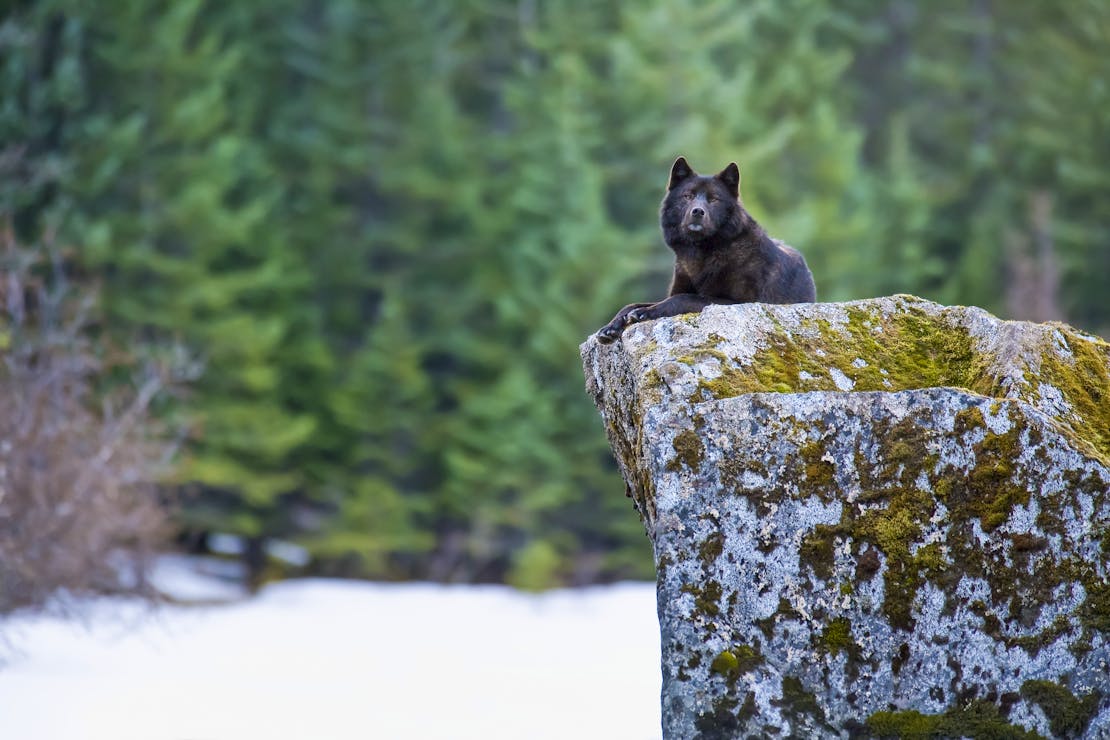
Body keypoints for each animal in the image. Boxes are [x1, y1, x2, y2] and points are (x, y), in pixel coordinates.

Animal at [599, 157, 816, 343]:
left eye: (713, 199)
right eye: (688, 196)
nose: (698, 211)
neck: (702, 253)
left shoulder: (739, 303)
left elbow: (682, 298)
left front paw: (645, 313)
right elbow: (632, 304)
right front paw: (612, 326)